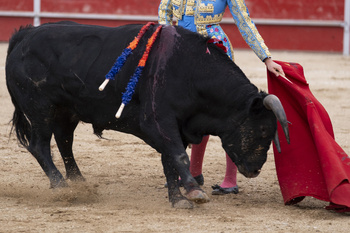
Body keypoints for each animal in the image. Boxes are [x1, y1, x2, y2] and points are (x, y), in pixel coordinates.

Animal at [6, 21, 290, 208]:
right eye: (263, 129)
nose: (255, 169)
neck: (191, 71)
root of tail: (23, 36)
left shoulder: (177, 126)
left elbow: (169, 160)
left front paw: (177, 199)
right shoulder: (158, 121)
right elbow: (178, 156)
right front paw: (194, 192)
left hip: (66, 111)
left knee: (65, 143)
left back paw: (79, 183)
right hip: (39, 108)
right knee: (40, 145)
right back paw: (62, 186)